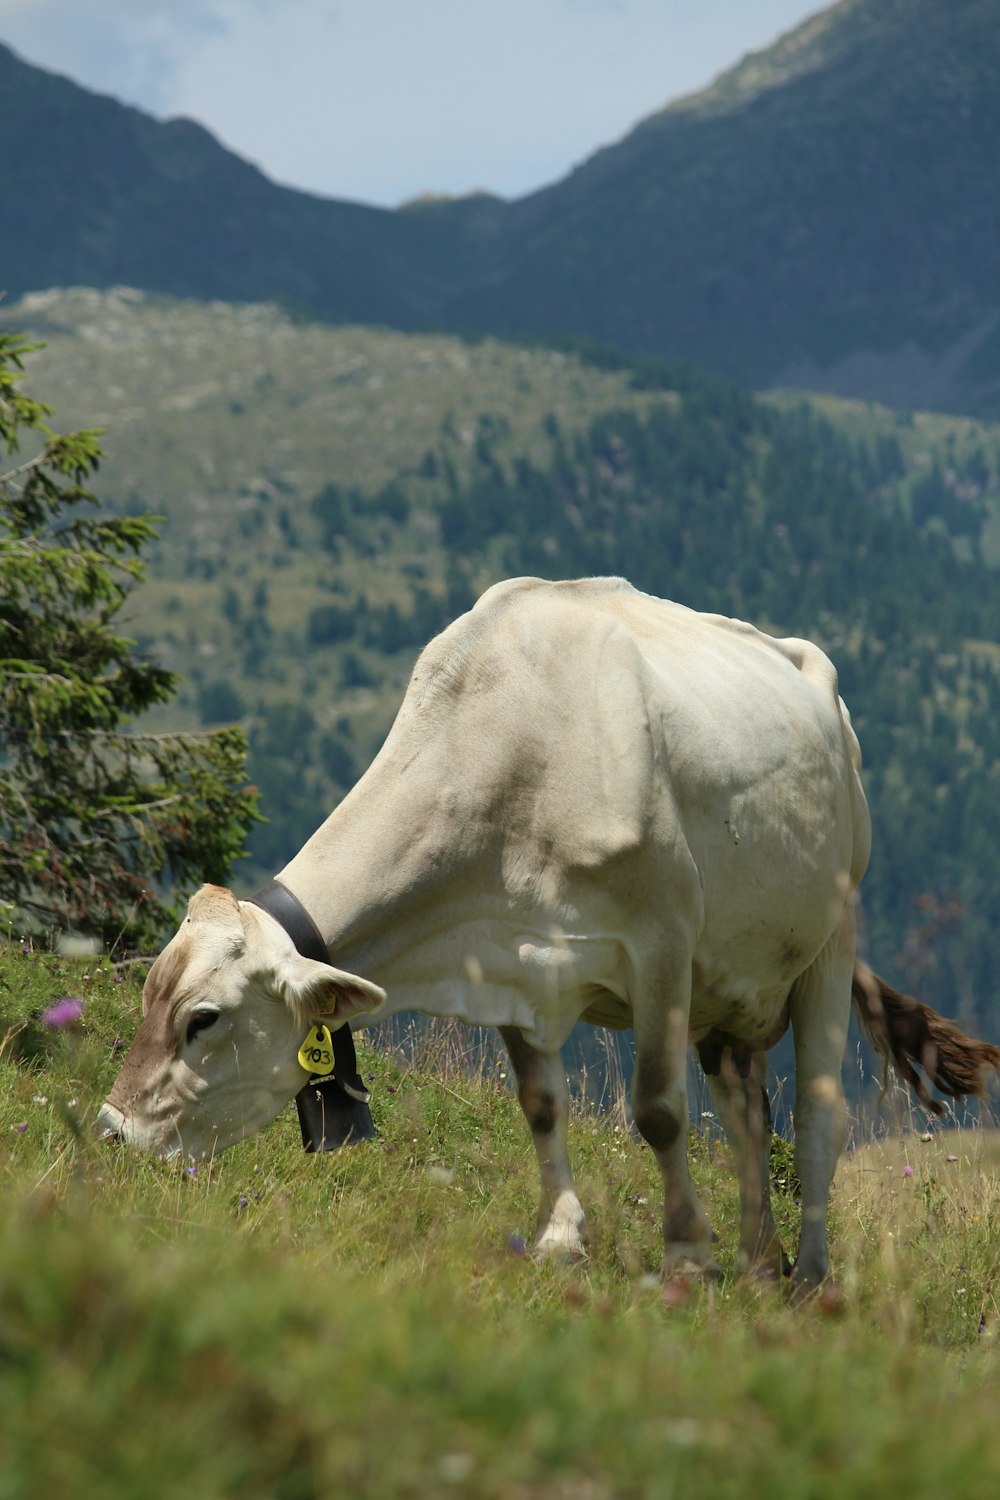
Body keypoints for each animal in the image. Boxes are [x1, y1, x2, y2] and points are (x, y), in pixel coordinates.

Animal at [95, 573, 1000, 1290]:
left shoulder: (662, 942)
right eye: (147, 994)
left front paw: (685, 1259)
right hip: (730, 984)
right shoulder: (506, 964)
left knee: (818, 1118)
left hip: (828, 936)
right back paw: (756, 1265)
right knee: (749, 1116)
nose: (111, 1132)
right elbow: (540, 1102)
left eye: (202, 1019)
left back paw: (806, 1276)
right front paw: (562, 1241)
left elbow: (658, 1110)